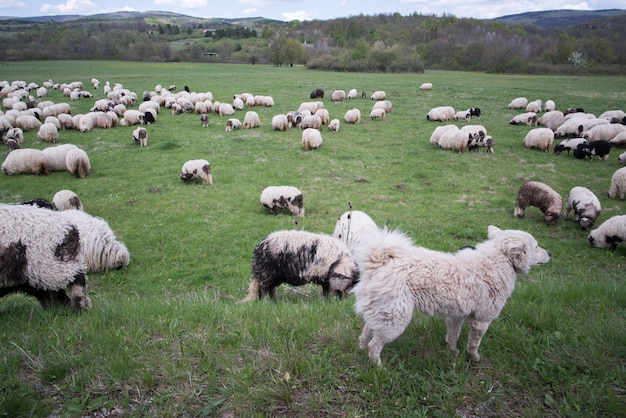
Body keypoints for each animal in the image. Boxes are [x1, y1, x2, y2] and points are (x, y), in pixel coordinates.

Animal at [354, 225, 548, 366]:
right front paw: (474, 358)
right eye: (536, 246)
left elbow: (453, 337)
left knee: (366, 333)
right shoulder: (481, 321)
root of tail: (380, 262)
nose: (551, 253)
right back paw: (379, 368)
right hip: (395, 319)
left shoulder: (456, 317)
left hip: (383, 312)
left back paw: (361, 350)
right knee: (374, 346)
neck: (499, 260)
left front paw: (453, 353)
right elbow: (474, 344)